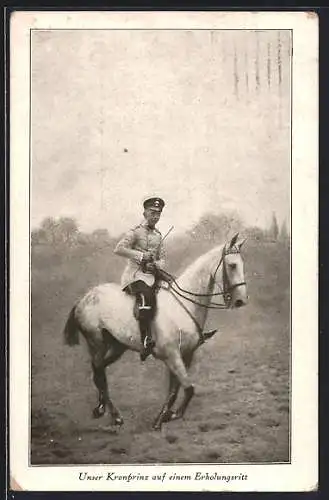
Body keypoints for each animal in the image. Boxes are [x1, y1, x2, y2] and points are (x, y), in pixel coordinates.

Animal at [62, 232, 246, 428]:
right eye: (232, 265)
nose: (240, 301)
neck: (182, 306)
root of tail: (83, 299)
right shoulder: (172, 355)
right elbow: (188, 389)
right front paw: (171, 416)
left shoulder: (186, 354)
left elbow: (175, 390)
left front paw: (164, 415)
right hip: (96, 342)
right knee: (98, 373)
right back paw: (113, 414)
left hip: (117, 346)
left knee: (99, 371)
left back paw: (103, 408)